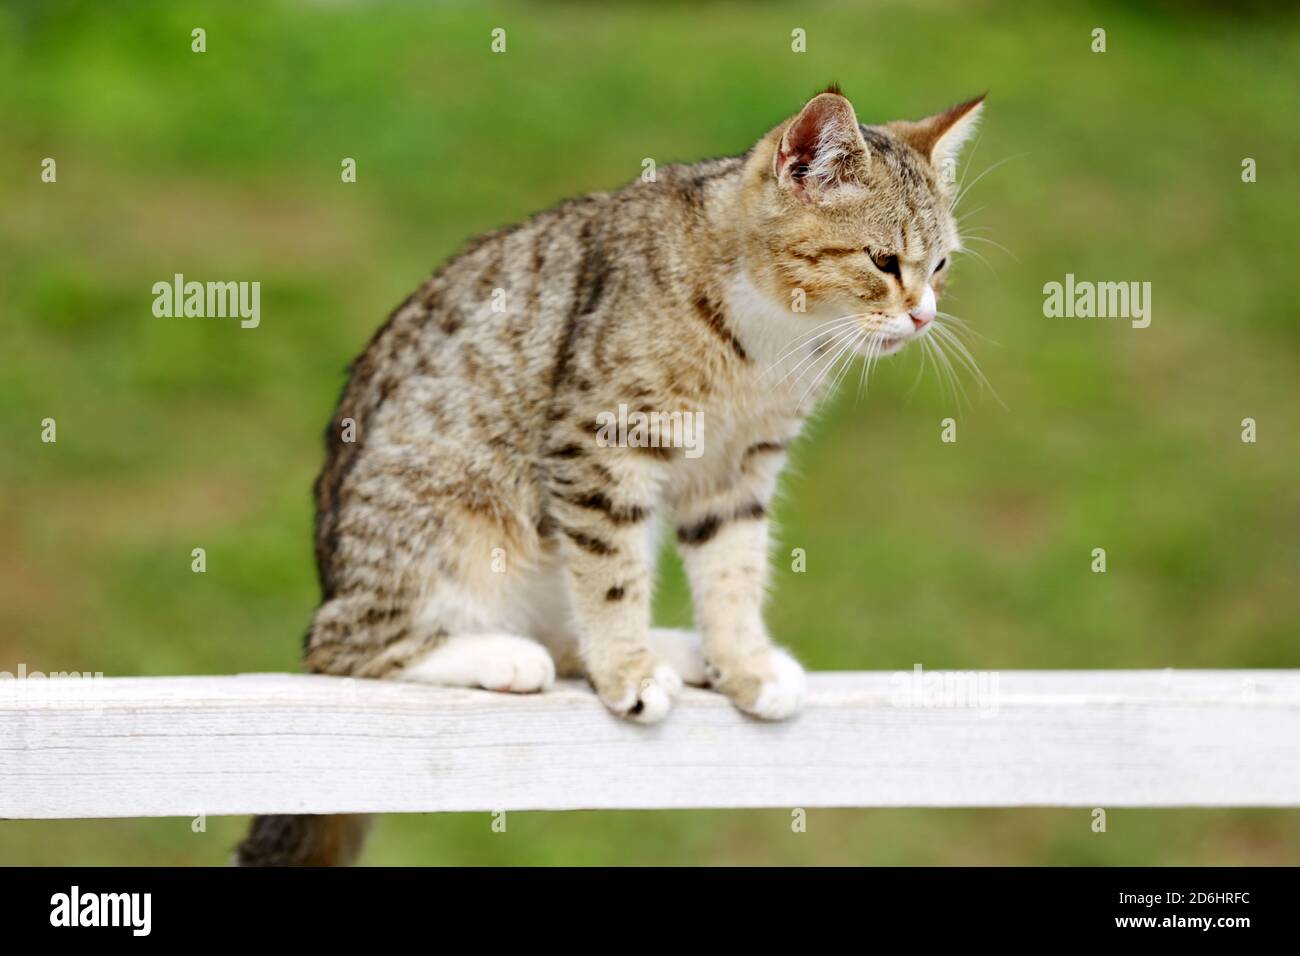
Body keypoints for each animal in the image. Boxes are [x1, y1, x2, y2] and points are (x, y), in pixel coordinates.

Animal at [236, 87, 982, 868]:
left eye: (940, 265)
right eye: (884, 261)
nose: (925, 317)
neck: (768, 342)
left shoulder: (737, 471)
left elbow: (733, 569)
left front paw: (742, 661)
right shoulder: (597, 443)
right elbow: (609, 574)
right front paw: (628, 671)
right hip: (440, 515)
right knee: (339, 647)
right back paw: (507, 654)